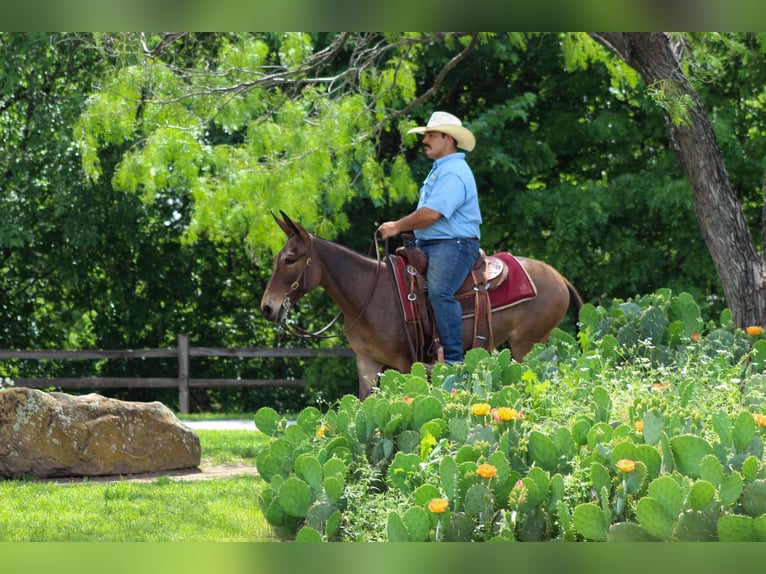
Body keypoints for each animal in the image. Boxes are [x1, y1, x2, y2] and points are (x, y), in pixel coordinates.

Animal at [260, 212, 583, 400]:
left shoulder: (405, 363)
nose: (267, 307)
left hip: (527, 344)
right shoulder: (367, 363)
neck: (370, 294)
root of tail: (559, 278)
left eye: (290, 259)